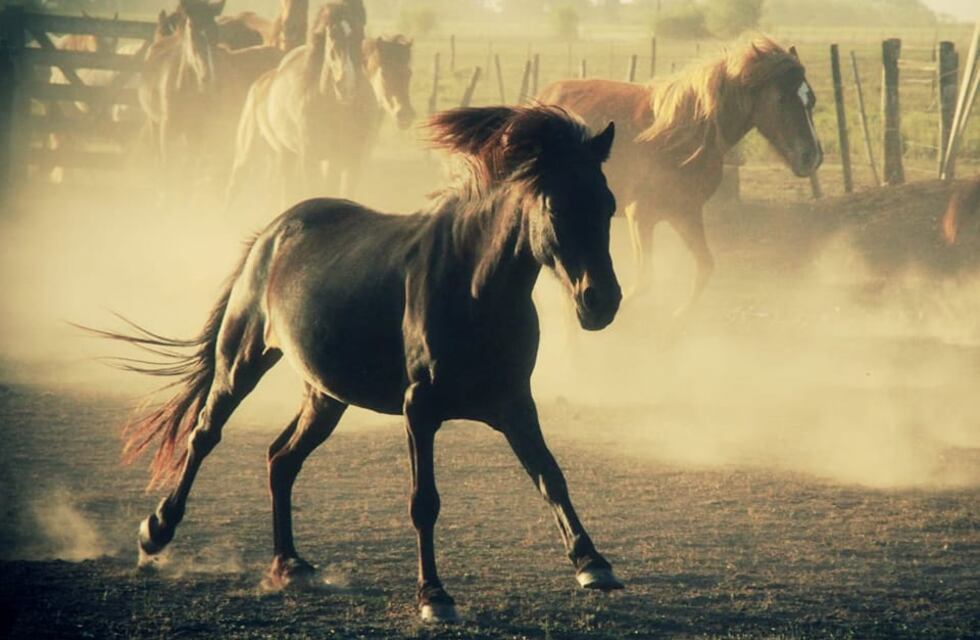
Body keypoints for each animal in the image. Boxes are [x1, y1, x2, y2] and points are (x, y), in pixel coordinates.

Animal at [90, 105, 622, 623]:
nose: (602, 302)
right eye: (555, 206)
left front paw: (592, 563)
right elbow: (424, 502)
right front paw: (433, 595)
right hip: (241, 361)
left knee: (282, 459)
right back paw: (156, 531)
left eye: (609, 205)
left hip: (325, 397)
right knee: (204, 435)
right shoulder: (419, 409)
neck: (473, 288)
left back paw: (289, 564)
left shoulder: (514, 403)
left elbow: (549, 474)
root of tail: (272, 232)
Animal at [224, 2, 366, 207]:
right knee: (235, 187)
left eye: (360, 35)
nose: (346, 86)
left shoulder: (347, 159)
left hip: (284, 155)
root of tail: (261, 82)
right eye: (332, 35)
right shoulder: (309, 158)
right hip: (248, 152)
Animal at [538, 37, 822, 313]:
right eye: (781, 99)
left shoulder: (685, 213)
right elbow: (643, 280)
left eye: (811, 100)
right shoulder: (640, 215)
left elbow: (704, 267)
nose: (813, 156)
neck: (685, 136)